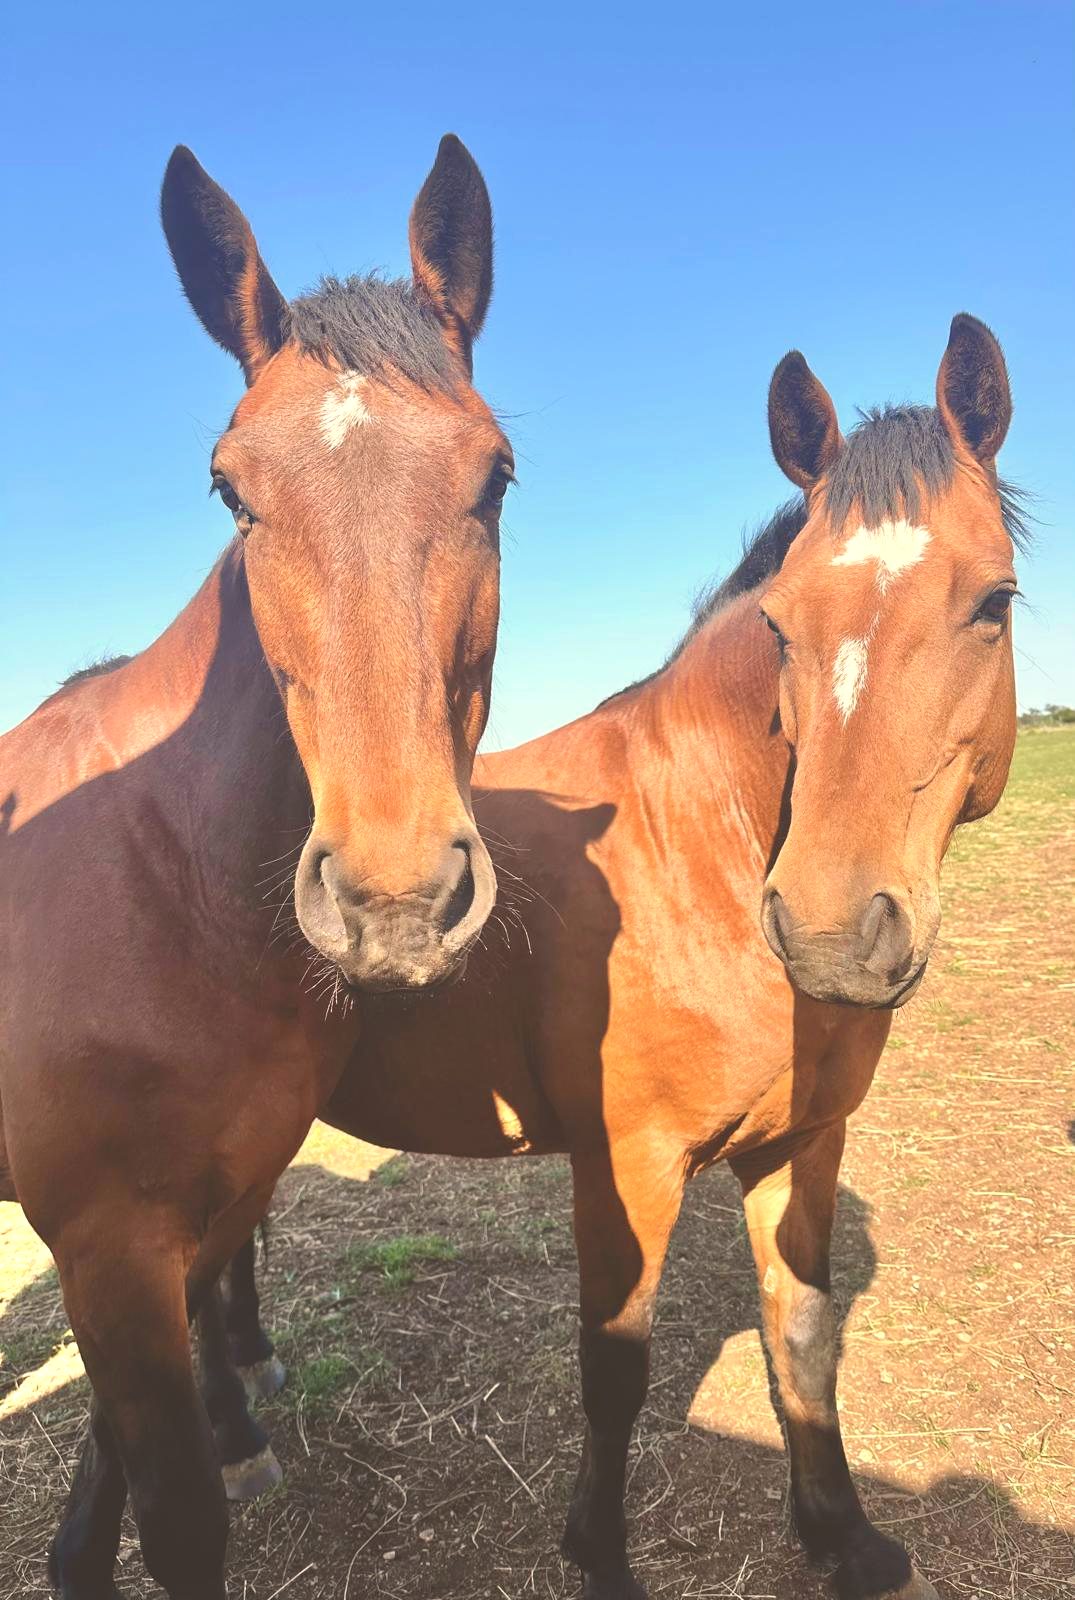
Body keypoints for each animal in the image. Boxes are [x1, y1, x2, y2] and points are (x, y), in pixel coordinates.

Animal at [0, 134, 512, 1600]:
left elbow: (130, 1434)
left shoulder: (210, 1198)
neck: (165, 878)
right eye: (232, 489)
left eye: (495, 477)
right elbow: (174, 1508)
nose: (396, 900)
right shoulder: (108, 1246)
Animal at [204, 315, 1023, 1600]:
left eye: (993, 601)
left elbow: (803, 1336)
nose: (831, 931)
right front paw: (598, 1552)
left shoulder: (803, 1144)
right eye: (780, 626)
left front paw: (840, 1533)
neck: (695, 843)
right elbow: (614, 1369)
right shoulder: (626, 1165)